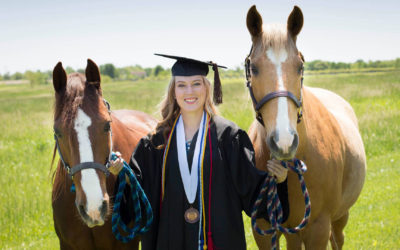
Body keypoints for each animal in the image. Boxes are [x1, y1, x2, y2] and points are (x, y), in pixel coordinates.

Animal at [244, 5, 366, 250]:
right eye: (254, 67)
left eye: (300, 66)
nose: (283, 141)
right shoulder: (262, 229)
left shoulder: (318, 227)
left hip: (340, 217)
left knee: (338, 240)